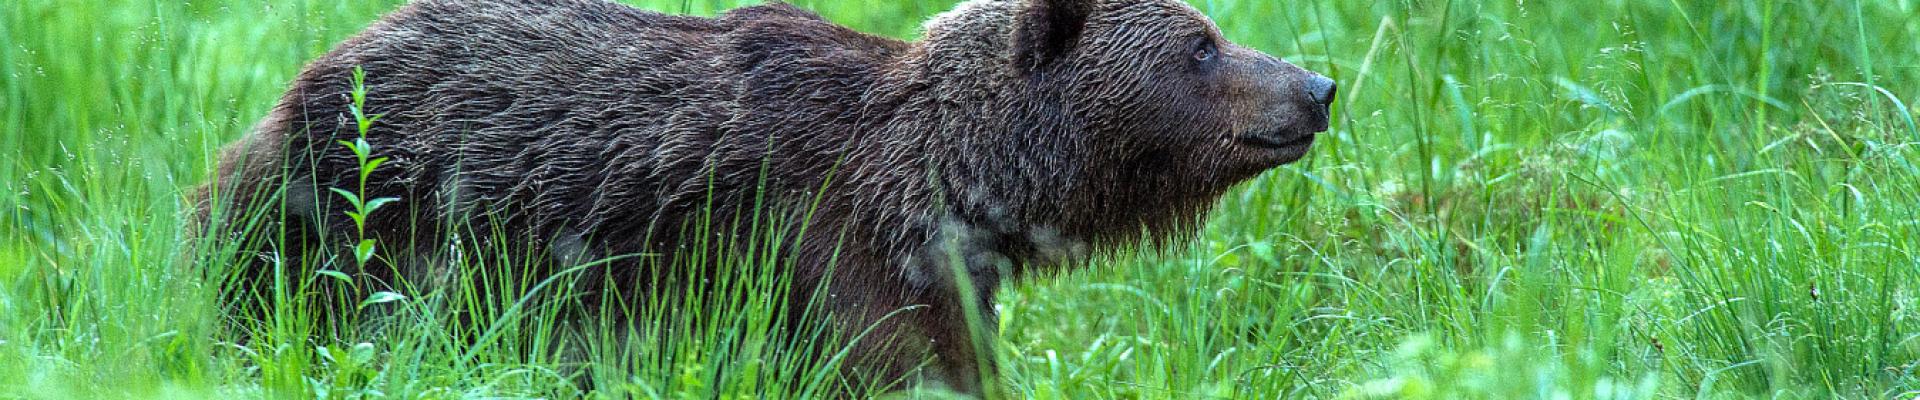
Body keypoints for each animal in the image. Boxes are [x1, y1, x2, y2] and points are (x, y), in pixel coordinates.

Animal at [194, 0, 1336, 396]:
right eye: (1202, 47)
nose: (1319, 87)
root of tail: (301, 76)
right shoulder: (823, 249)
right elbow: (889, 369)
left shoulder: (948, 276)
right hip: (362, 221)